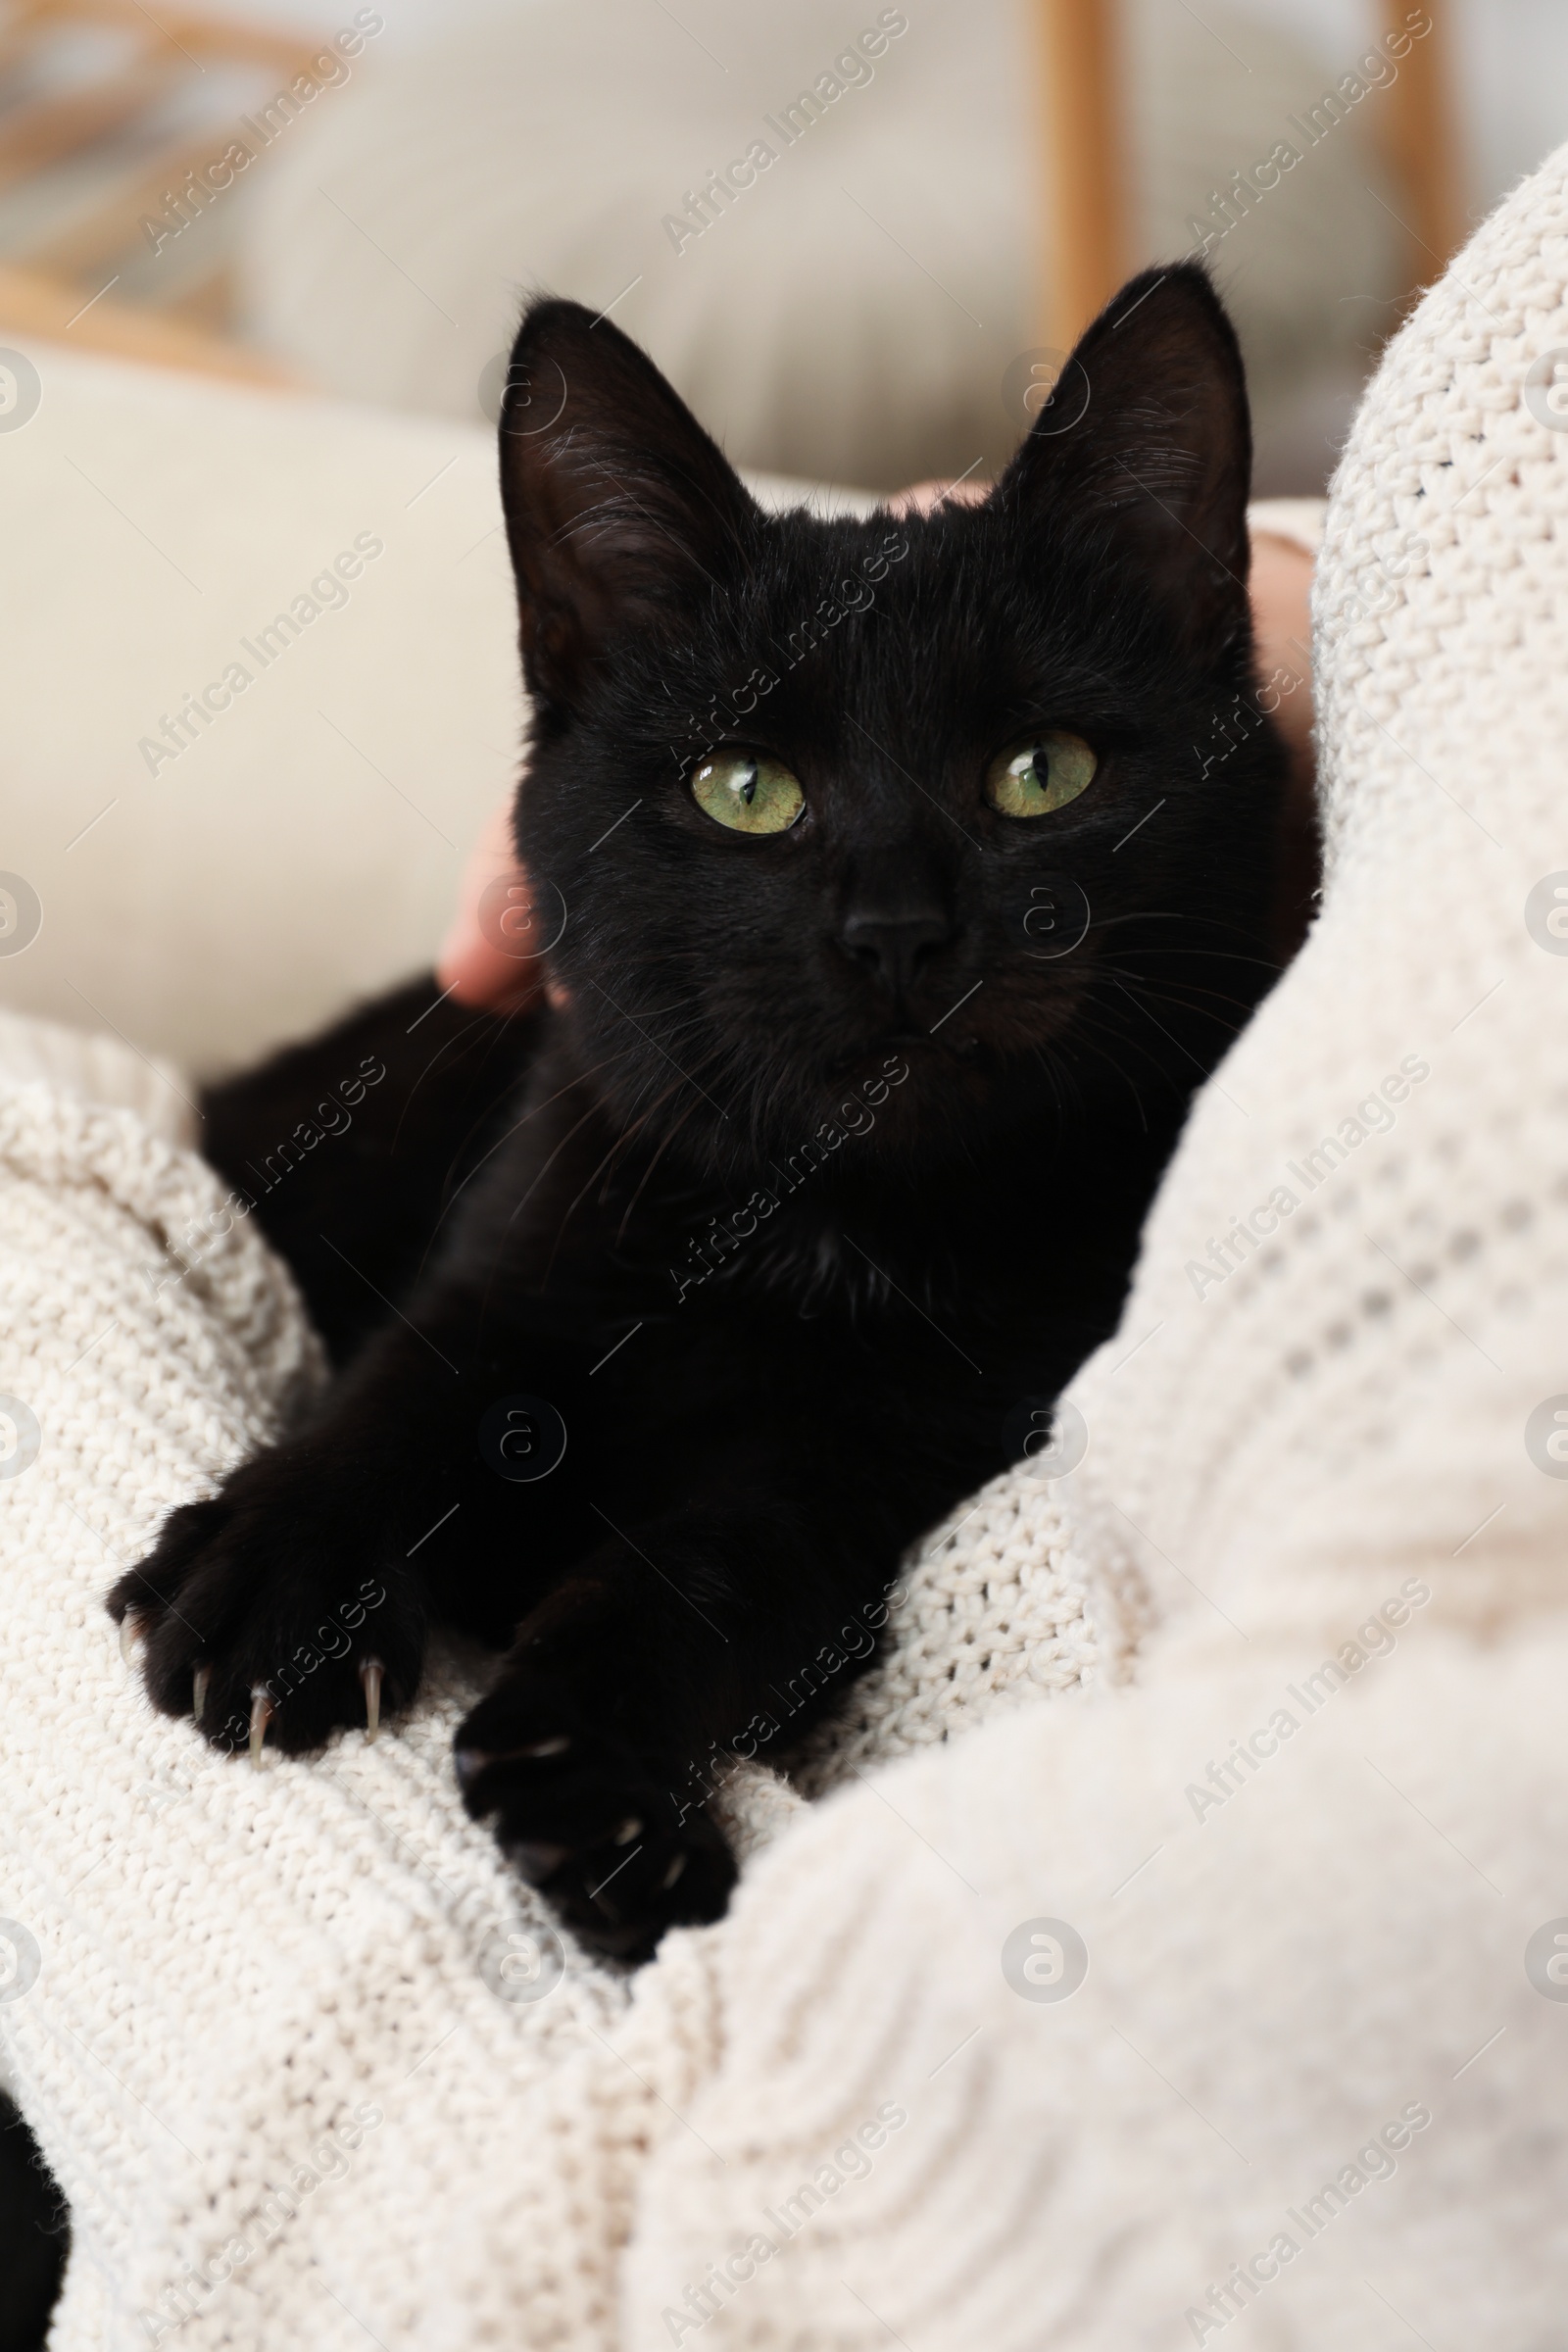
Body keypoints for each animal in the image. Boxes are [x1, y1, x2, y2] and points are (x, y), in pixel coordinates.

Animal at [110, 267, 1288, 1956]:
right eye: (747, 790)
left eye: (1041, 773)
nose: (898, 930)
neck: (819, 1221)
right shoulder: (525, 1234)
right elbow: (398, 1395)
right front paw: (271, 1584)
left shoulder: (888, 1459)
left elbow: (705, 1577)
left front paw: (594, 1800)